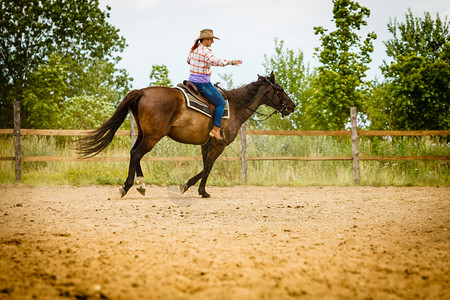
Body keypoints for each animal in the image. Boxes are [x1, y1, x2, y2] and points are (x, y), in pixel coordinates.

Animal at [77, 72, 296, 198]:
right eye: (280, 89)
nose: (292, 106)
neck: (234, 107)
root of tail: (143, 92)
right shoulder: (218, 145)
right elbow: (208, 167)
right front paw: (196, 189)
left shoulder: (206, 144)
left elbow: (205, 166)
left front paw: (196, 188)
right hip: (152, 136)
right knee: (137, 154)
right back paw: (128, 186)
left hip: (143, 133)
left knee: (134, 153)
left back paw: (141, 185)